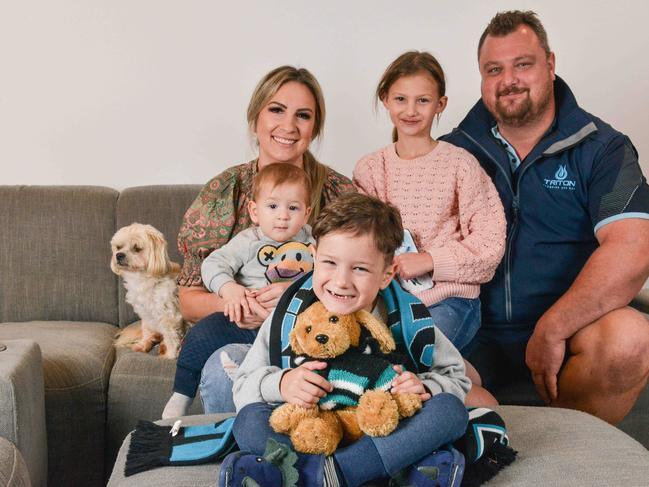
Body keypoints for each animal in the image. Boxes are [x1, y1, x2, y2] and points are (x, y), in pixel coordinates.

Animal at [110, 224, 186, 358]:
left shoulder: (169, 317)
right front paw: (144, 344)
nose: (119, 255)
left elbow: (171, 337)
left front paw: (170, 355)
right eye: (118, 247)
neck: (142, 279)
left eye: (137, 248)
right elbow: (147, 331)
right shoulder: (145, 314)